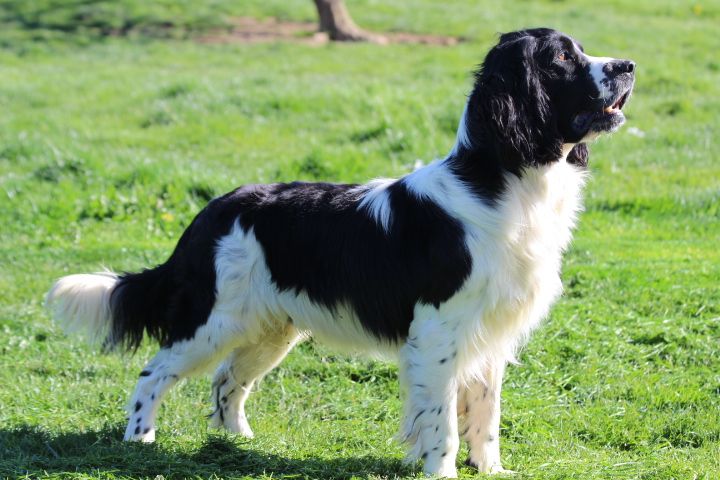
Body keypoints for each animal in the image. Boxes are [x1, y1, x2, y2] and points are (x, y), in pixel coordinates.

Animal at [47, 29, 636, 476]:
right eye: (561, 58)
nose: (628, 65)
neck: (503, 181)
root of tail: (214, 209)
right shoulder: (438, 336)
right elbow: (442, 422)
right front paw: (441, 471)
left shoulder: (489, 335)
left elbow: (484, 418)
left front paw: (491, 470)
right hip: (213, 321)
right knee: (155, 371)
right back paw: (139, 439)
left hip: (272, 329)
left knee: (228, 380)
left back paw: (238, 441)